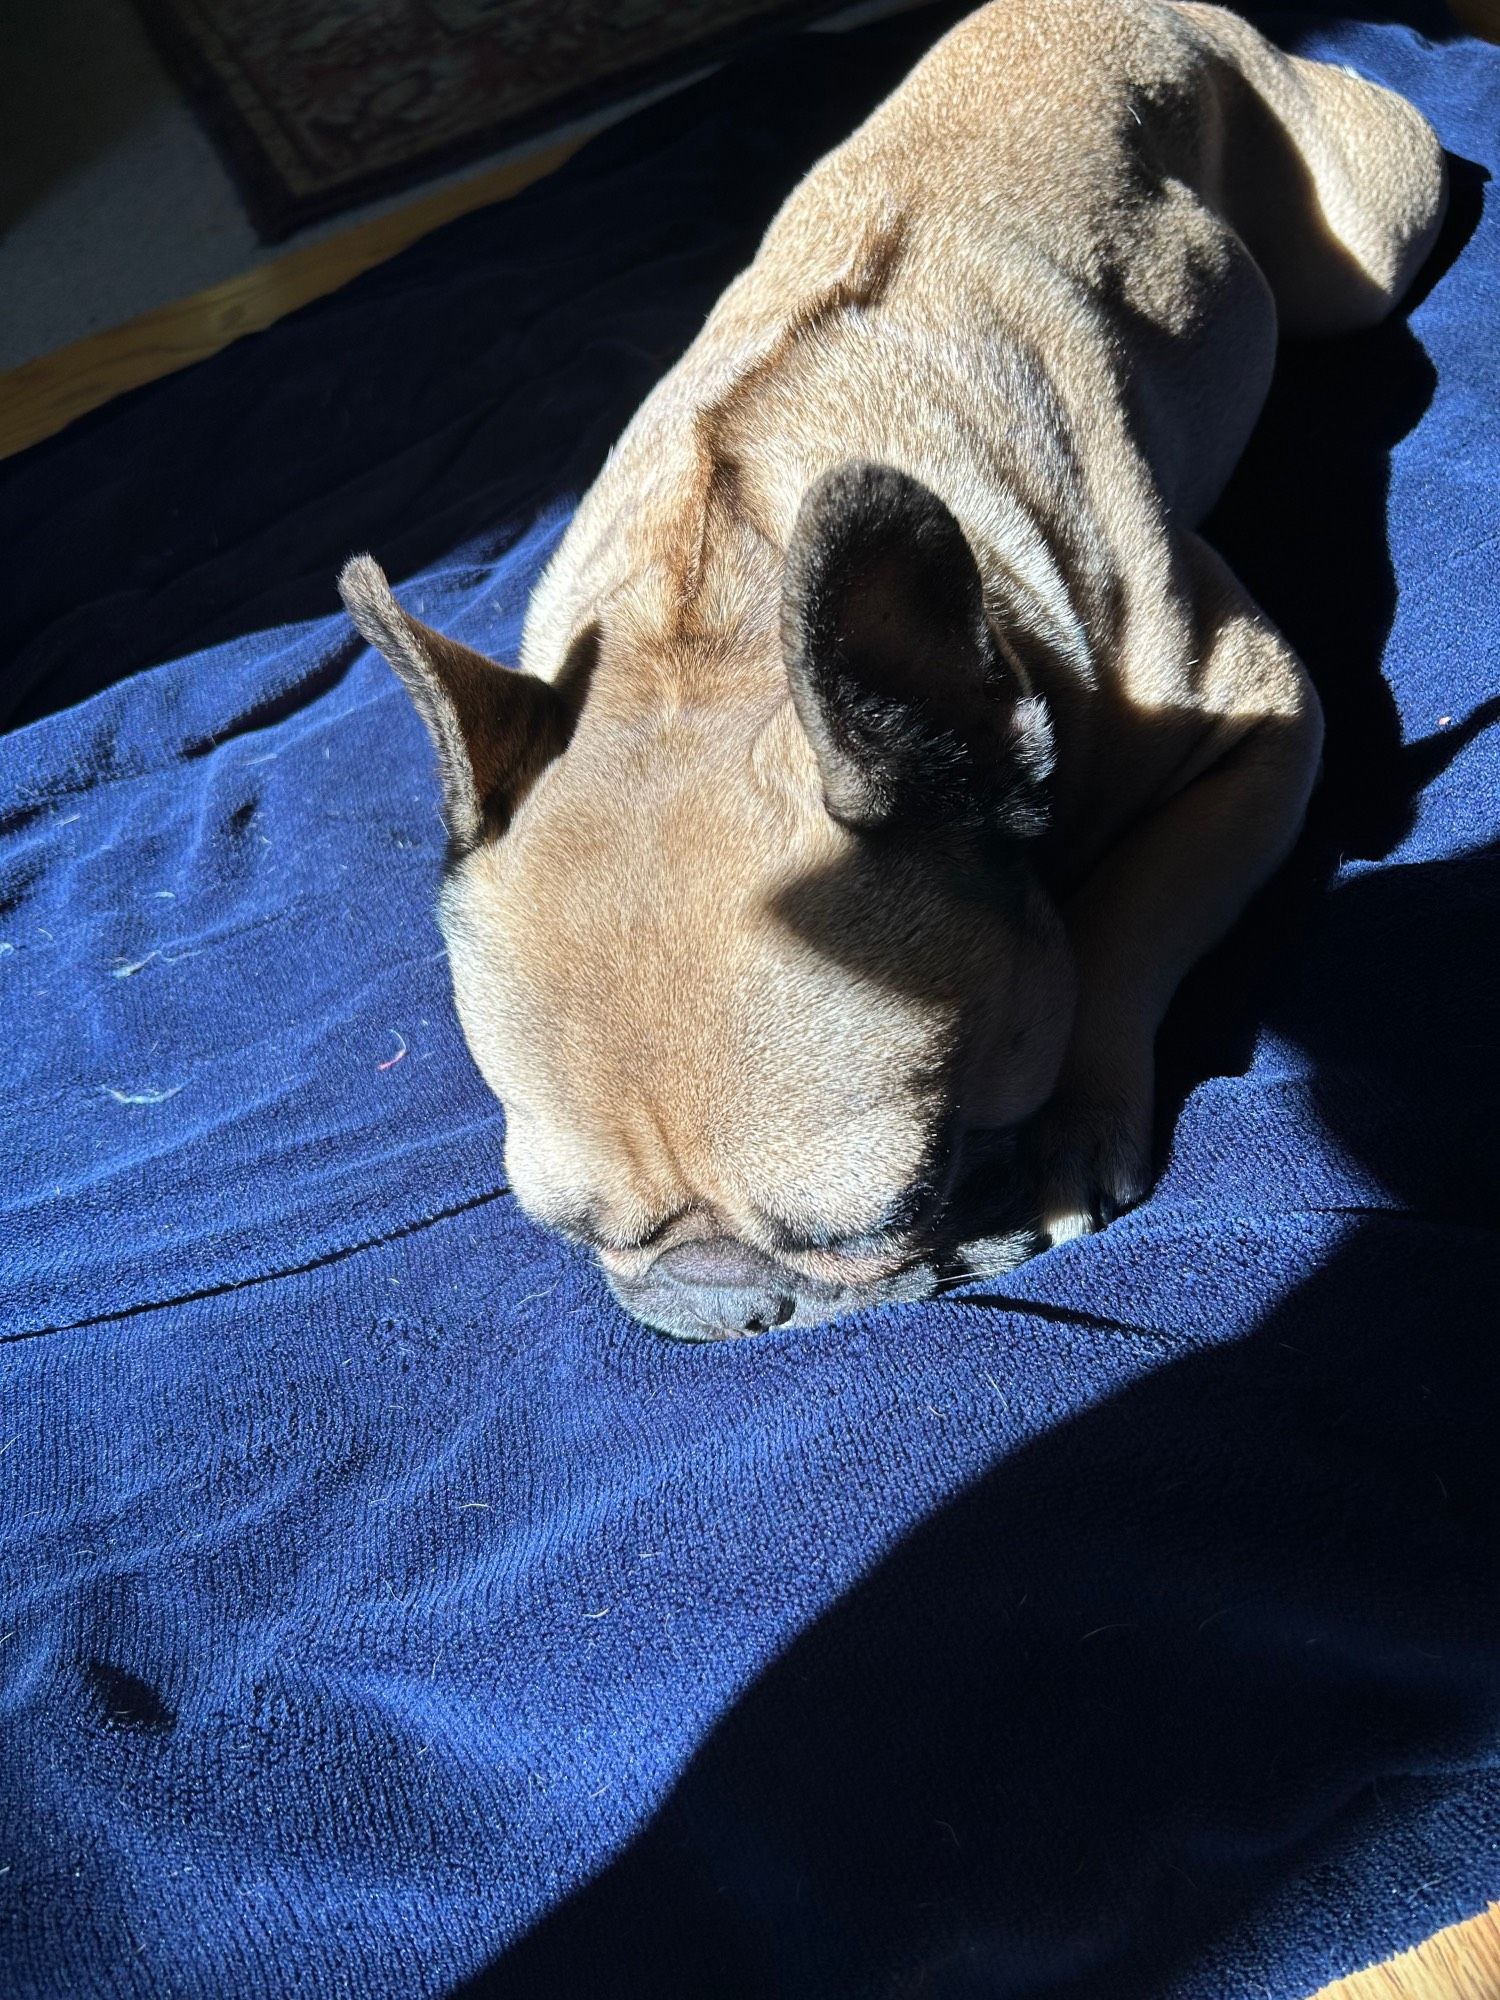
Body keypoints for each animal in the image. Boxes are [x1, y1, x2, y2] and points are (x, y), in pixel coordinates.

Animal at [338, 7, 1448, 1344]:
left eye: (882, 1215)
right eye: (567, 1229)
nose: (720, 1300)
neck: (718, 615)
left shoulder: (1261, 720)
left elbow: (1127, 916)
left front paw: (1076, 1115)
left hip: (1365, 244)